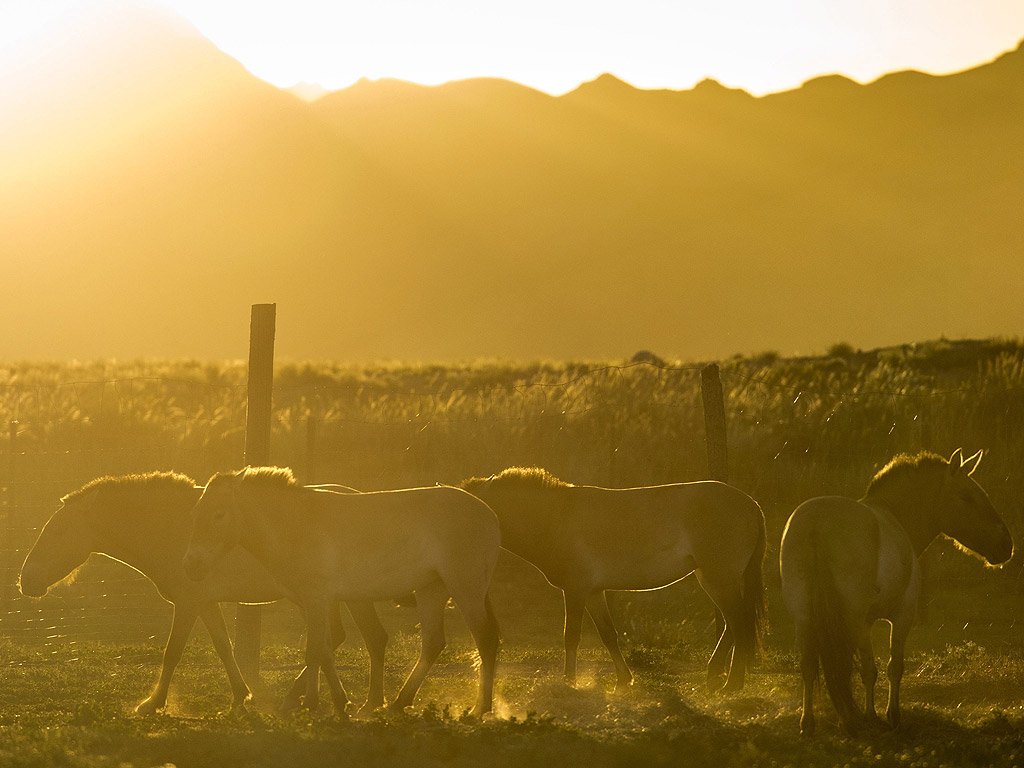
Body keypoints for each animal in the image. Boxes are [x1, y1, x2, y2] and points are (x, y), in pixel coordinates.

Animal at [20, 473, 387, 720]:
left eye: (57, 531)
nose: (26, 580)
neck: (169, 527)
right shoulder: (206, 604)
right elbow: (224, 648)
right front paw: (241, 697)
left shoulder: (188, 603)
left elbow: (172, 653)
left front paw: (152, 703)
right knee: (334, 639)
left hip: (346, 598)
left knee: (372, 638)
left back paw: (369, 703)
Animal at [184, 468, 503, 720]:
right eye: (195, 513)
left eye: (219, 514)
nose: (191, 565)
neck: (295, 525)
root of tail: (488, 513)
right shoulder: (312, 602)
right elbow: (323, 650)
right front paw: (336, 703)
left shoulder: (317, 599)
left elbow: (315, 650)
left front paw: (313, 704)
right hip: (431, 589)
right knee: (434, 643)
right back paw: (398, 703)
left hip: (465, 588)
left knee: (485, 640)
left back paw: (479, 709)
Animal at [460, 466, 765, 696]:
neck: (556, 519)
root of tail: (752, 505)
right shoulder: (595, 592)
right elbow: (609, 635)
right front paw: (623, 681)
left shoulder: (576, 590)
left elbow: (571, 637)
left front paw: (569, 682)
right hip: (714, 579)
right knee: (733, 625)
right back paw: (716, 675)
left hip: (719, 580)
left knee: (739, 625)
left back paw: (731, 684)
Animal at [778, 450, 1011, 741]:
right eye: (967, 496)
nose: (1006, 545)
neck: (895, 517)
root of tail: (817, 523)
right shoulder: (901, 615)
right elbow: (893, 667)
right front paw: (892, 716)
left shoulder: (865, 623)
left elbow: (870, 670)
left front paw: (874, 716)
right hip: (848, 620)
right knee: (847, 668)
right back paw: (852, 721)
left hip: (804, 618)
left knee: (808, 667)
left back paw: (808, 724)